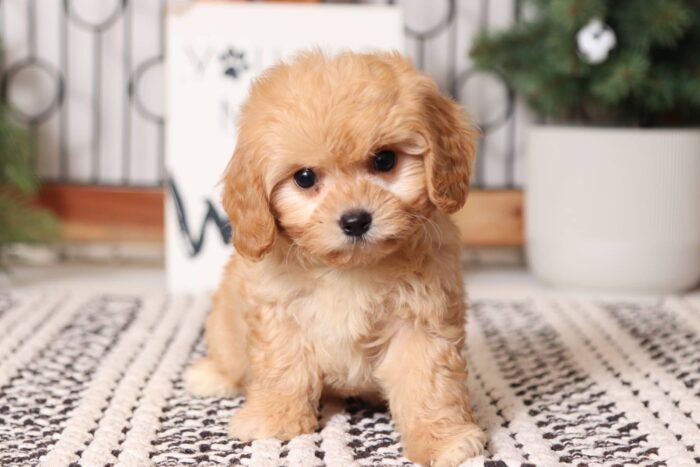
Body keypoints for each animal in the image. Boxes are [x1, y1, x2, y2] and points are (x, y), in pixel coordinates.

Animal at [185, 51, 486, 467]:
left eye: (385, 160)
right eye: (305, 177)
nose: (356, 220)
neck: (348, 268)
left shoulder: (421, 318)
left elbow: (428, 382)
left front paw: (443, 440)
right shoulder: (280, 313)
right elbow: (283, 368)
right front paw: (275, 420)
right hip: (223, 325)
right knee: (228, 355)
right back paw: (211, 375)